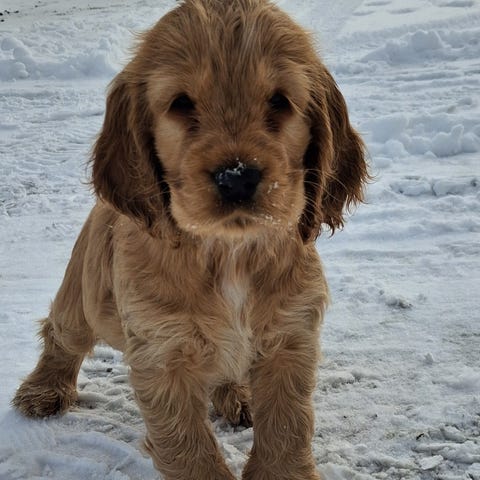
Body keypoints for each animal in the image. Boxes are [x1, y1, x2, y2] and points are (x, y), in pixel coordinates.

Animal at [12, 1, 368, 478]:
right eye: (181, 104)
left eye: (280, 101)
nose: (236, 177)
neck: (227, 253)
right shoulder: (162, 354)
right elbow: (188, 446)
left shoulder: (291, 337)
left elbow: (286, 425)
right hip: (82, 296)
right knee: (60, 334)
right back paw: (42, 390)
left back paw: (237, 395)